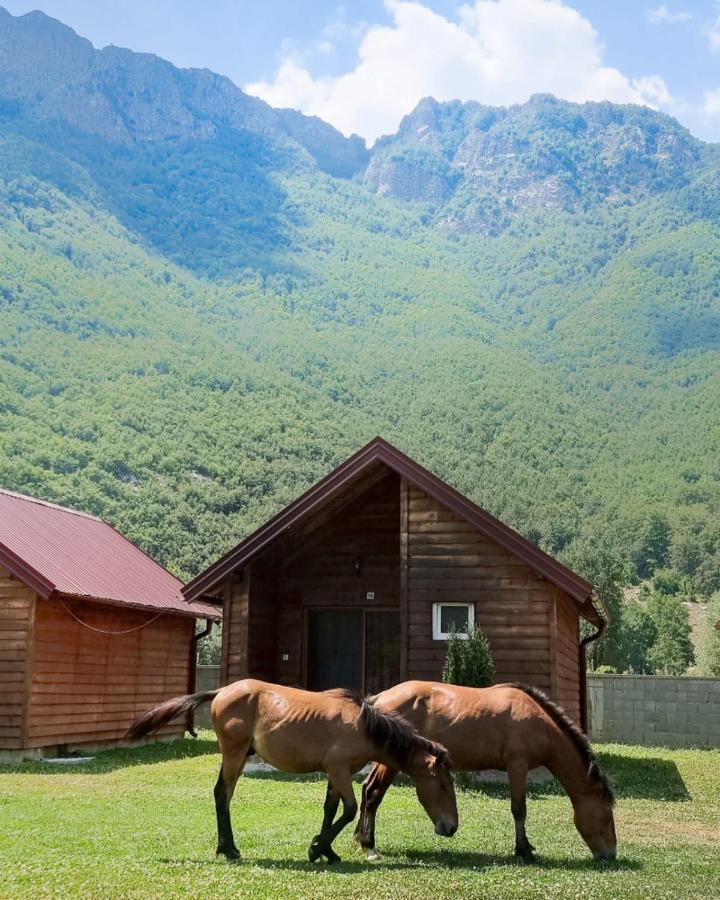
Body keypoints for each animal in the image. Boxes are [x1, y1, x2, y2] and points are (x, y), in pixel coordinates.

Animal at [126, 680, 458, 860]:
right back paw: (228, 850)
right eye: (443, 785)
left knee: (226, 795)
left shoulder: (336, 773)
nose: (451, 827)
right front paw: (316, 849)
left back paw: (229, 847)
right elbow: (350, 809)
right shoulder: (339, 770)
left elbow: (330, 809)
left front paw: (327, 851)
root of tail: (220, 691)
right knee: (222, 794)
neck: (362, 726)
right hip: (233, 755)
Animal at [352, 684, 616, 864]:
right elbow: (519, 810)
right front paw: (524, 849)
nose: (611, 854)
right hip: (392, 763)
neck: (540, 722)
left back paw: (359, 837)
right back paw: (370, 846)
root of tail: (379, 698)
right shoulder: (517, 766)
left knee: (366, 789)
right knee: (374, 793)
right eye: (607, 817)